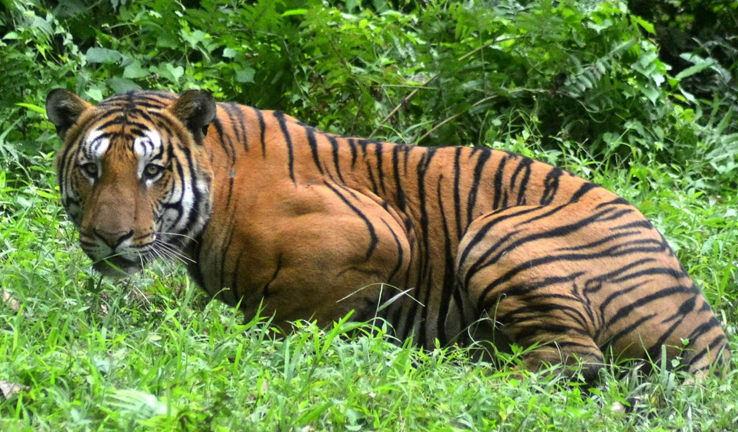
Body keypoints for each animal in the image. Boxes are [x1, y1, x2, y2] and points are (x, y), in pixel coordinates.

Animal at [46, 88, 731, 381]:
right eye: (91, 168)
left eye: (152, 170)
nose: (109, 238)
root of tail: (710, 326)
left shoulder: (379, 233)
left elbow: (292, 313)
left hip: (498, 232)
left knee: (570, 365)